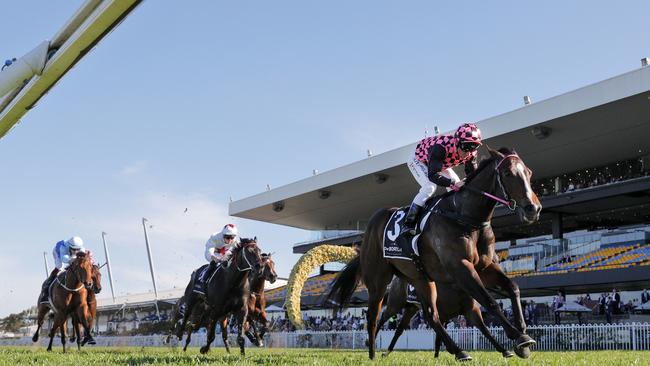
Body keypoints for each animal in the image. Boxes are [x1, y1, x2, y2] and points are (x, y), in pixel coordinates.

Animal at [326, 147, 540, 358]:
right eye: (507, 173)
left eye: (529, 172)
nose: (534, 208)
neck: (464, 216)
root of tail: (370, 226)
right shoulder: (460, 267)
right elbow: (490, 301)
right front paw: (519, 337)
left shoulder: (484, 267)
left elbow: (513, 287)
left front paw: (522, 333)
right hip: (379, 280)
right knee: (374, 315)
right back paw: (372, 354)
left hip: (421, 279)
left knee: (431, 315)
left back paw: (459, 351)